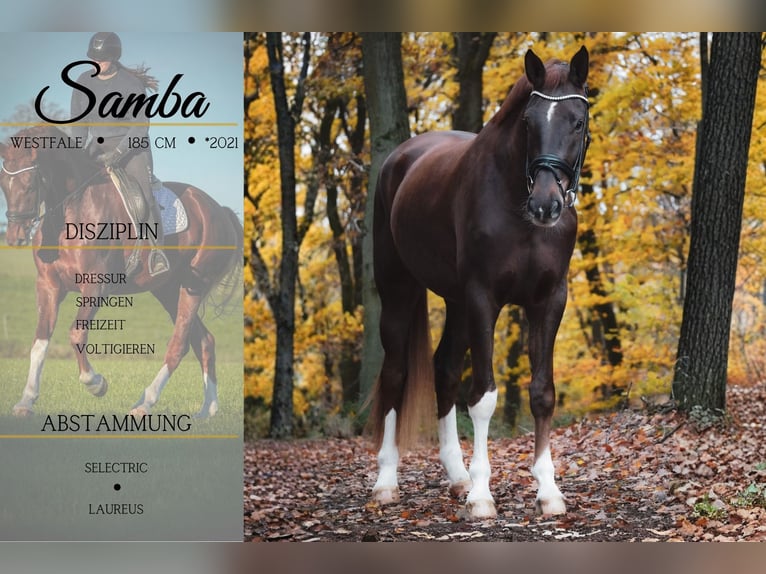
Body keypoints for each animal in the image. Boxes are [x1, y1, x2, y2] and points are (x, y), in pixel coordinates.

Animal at [0, 125, 243, 418]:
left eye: (30, 183)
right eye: (3, 183)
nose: (14, 237)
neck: (73, 209)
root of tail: (219, 211)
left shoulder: (95, 286)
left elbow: (76, 334)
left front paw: (96, 384)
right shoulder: (48, 285)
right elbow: (40, 340)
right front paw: (26, 401)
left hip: (193, 286)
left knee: (180, 345)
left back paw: (145, 402)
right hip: (168, 290)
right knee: (204, 341)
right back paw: (208, 408)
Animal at [368, 46, 590, 519]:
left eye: (577, 122)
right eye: (528, 122)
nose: (546, 205)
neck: (516, 205)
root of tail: (401, 158)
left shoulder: (549, 300)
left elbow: (542, 392)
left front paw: (548, 490)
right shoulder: (483, 298)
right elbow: (484, 397)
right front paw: (483, 495)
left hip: (454, 303)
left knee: (444, 370)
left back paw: (457, 477)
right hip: (399, 290)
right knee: (395, 373)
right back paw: (386, 482)